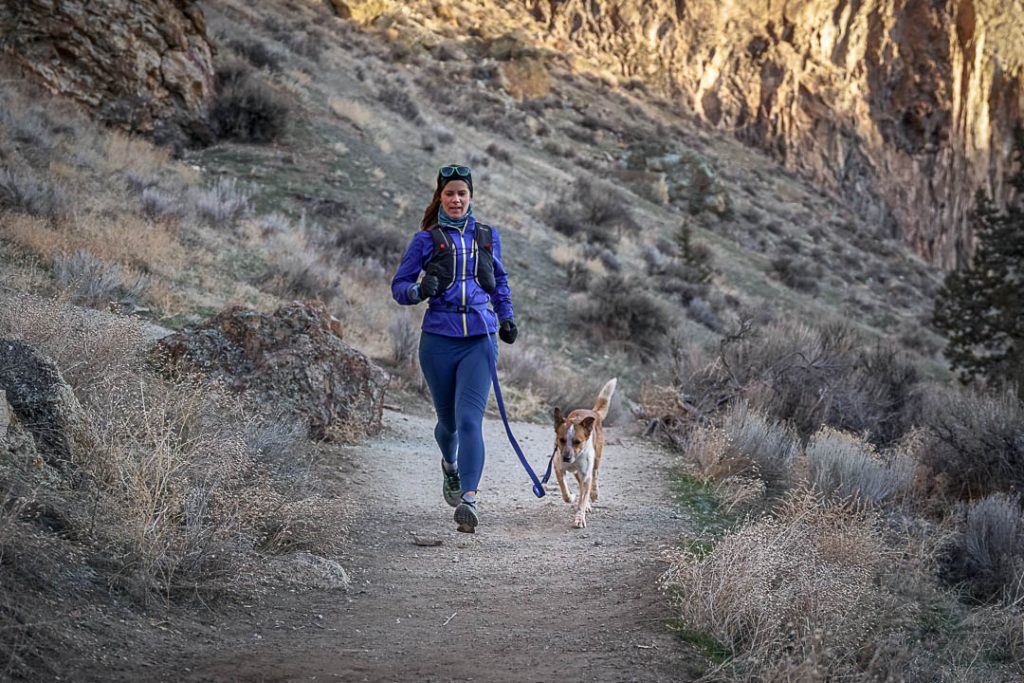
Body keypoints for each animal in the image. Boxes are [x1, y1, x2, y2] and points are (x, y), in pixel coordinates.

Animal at [552, 378, 614, 528]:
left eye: (577, 441)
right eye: (562, 440)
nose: (566, 458)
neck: (575, 458)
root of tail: (592, 412)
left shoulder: (586, 474)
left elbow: (583, 497)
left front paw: (580, 518)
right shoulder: (558, 468)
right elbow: (564, 490)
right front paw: (571, 497)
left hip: (596, 460)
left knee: (594, 477)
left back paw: (594, 494)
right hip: (577, 472)